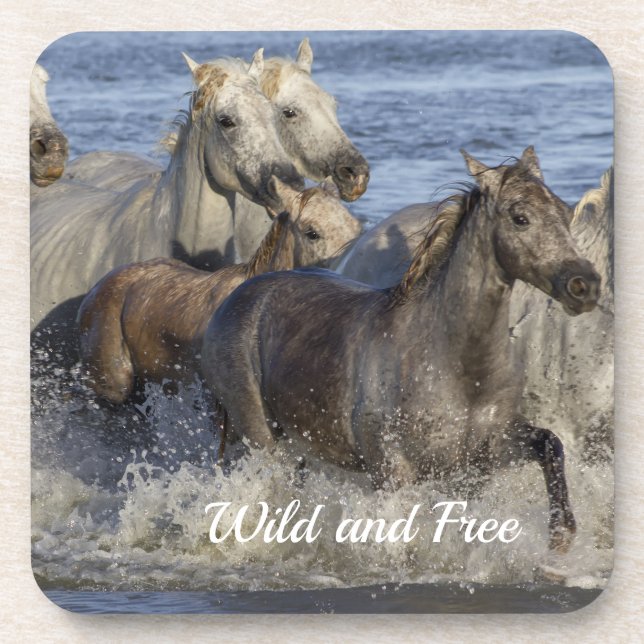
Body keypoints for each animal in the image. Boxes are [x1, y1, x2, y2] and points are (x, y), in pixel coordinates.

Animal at [201, 147, 601, 553]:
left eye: (563, 212)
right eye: (520, 218)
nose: (584, 284)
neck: (456, 367)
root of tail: (237, 296)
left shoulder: (483, 459)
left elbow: (550, 444)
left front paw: (561, 535)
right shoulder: (393, 473)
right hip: (263, 438)